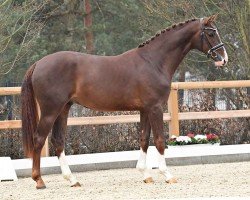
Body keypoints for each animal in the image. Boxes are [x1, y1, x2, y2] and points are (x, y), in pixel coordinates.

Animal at [21, 15, 228, 189]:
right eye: (211, 33)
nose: (224, 59)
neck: (154, 62)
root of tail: (38, 63)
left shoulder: (145, 110)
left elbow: (144, 139)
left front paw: (146, 175)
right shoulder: (155, 108)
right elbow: (160, 141)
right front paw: (167, 175)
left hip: (63, 109)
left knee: (58, 140)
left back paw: (72, 180)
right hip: (51, 110)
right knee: (39, 139)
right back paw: (39, 180)